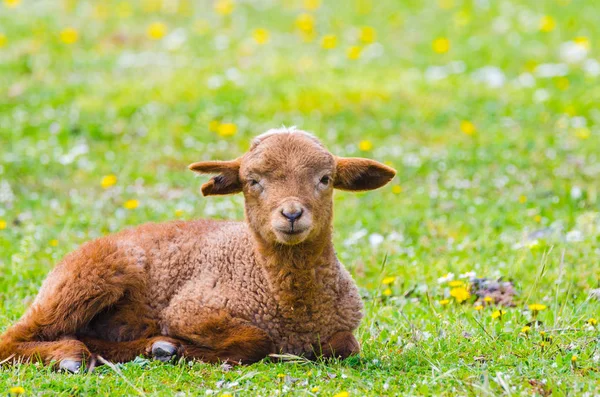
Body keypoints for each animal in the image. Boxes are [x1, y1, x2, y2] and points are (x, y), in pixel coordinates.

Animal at [0, 127, 394, 372]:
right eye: (252, 181)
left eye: (325, 179)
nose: (292, 215)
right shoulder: (189, 309)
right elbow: (256, 338)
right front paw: (200, 353)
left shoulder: (344, 326)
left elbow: (346, 346)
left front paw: (168, 350)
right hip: (89, 278)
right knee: (14, 337)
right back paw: (70, 357)